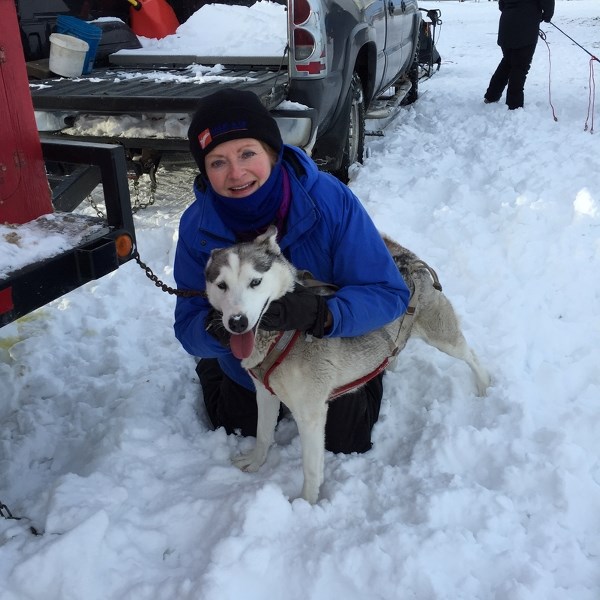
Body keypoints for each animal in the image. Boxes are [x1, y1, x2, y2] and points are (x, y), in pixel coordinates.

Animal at [204, 227, 490, 504]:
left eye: (255, 282)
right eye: (222, 285)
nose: (237, 322)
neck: (281, 335)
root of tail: (405, 259)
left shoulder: (311, 414)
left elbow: (311, 468)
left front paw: (306, 504)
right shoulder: (265, 394)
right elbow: (263, 433)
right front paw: (255, 462)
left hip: (443, 337)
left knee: (472, 355)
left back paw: (484, 386)